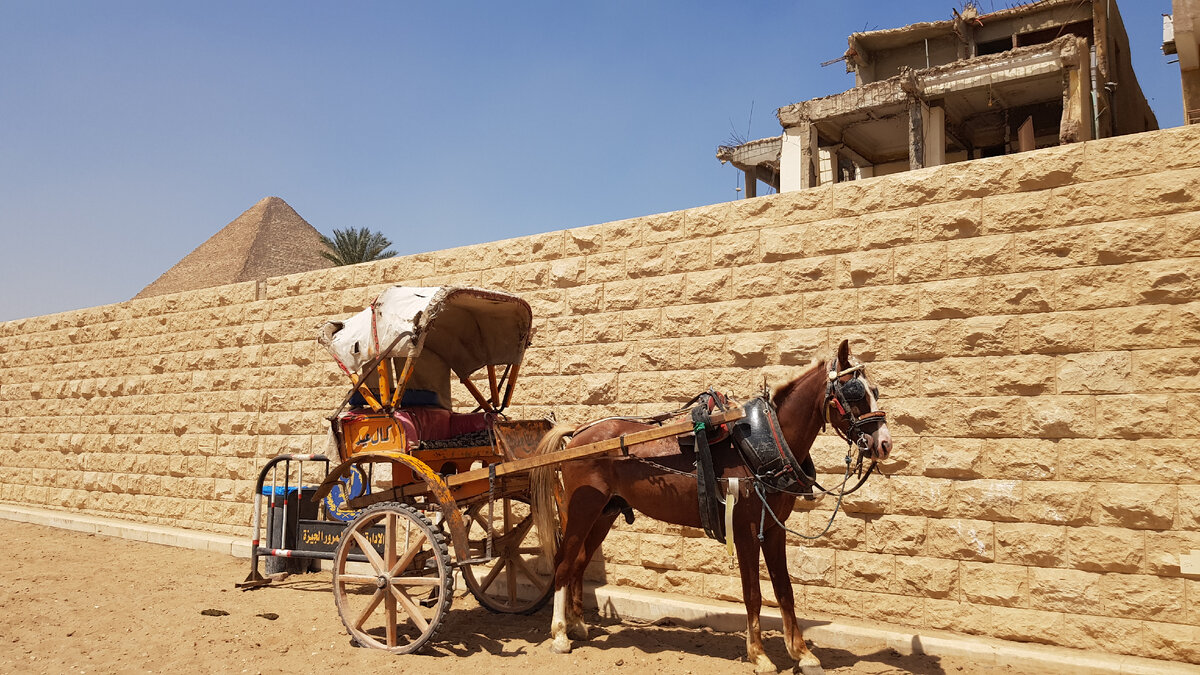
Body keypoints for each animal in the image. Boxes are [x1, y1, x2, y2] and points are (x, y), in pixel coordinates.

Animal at [532, 338, 892, 667]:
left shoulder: (775, 529)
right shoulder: (746, 530)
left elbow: (784, 590)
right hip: (582, 510)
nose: (884, 444)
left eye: (874, 388)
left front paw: (801, 652)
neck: (763, 445)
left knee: (578, 563)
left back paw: (578, 625)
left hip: (604, 514)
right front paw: (759, 655)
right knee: (564, 563)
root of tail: (579, 433)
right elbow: (753, 593)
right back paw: (560, 634)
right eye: (854, 392)